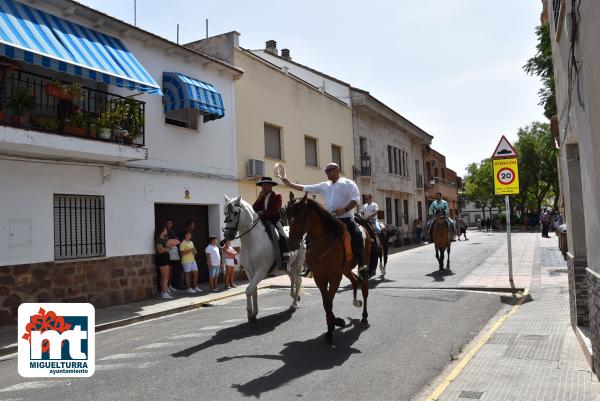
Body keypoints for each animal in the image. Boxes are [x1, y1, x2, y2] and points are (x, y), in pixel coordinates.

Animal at [286, 192, 376, 342]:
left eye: (300, 216)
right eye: (287, 215)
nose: (291, 244)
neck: (322, 243)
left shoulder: (335, 277)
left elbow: (329, 303)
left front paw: (332, 328)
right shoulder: (319, 278)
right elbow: (326, 303)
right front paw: (333, 325)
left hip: (363, 265)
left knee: (364, 288)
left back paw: (364, 318)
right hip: (345, 269)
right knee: (354, 280)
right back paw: (355, 302)